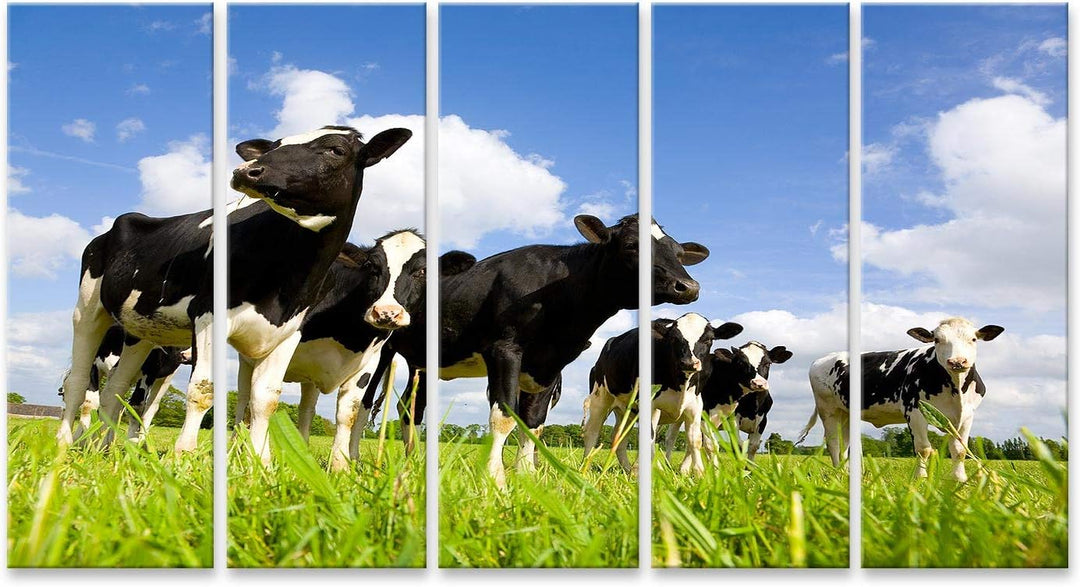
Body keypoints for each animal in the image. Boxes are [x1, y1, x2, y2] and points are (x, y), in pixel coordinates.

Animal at [57, 125, 411, 463]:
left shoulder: (287, 332)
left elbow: (266, 399)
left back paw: (98, 449)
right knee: (78, 382)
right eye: (276, 144)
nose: (248, 170)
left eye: (335, 149)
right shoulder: (209, 316)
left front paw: (259, 463)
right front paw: (183, 456)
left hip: (140, 331)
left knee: (115, 390)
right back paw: (64, 444)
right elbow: (204, 390)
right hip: (87, 310)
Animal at [437, 214, 709, 486]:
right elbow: (504, 417)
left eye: (679, 253)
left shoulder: (549, 367)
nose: (689, 286)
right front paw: (495, 478)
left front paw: (528, 476)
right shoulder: (504, 349)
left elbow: (533, 422)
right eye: (632, 245)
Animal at [584, 313, 743, 474]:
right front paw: (647, 470)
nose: (688, 363)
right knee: (592, 432)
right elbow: (649, 438)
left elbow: (695, 440)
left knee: (619, 437)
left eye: (708, 339)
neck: (681, 384)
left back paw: (628, 469)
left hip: (627, 411)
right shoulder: (651, 405)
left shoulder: (695, 406)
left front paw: (700, 473)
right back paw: (585, 467)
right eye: (673, 338)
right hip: (600, 399)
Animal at [663, 341, 791, 464]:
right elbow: (736, 445)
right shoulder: (727, 417)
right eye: (741, 363)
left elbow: (753, 446)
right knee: (671, 437)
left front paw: (749, 469)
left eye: (768, 363)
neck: (751, 403)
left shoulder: (763, 420)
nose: (758, 383)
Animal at [798, 317, 1003, 482]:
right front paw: (921, 479)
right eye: (937, 340)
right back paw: (839, 475)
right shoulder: (915, 411)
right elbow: (923, 449)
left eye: (973, 339)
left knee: (845, 445)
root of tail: (823, 358)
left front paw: (959, 480)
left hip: (845, 413)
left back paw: (846, 474)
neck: (956, 390)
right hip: (828, 410)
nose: (957, 362)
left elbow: (960, 450)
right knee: (833, 443)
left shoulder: (967, 415)